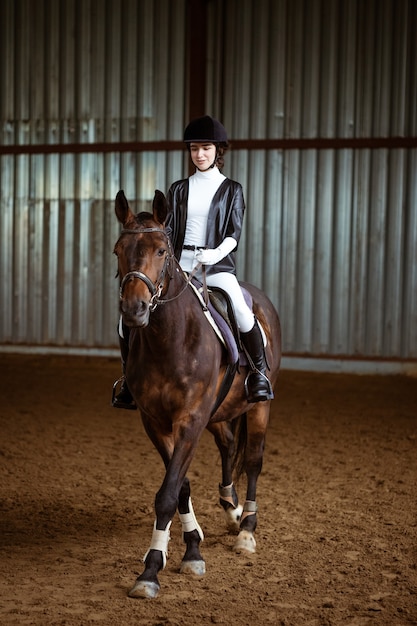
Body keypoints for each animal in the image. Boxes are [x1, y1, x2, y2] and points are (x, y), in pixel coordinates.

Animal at [114, 189, 282, 596]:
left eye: (162, 251)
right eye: (118, 250)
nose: (133, 310)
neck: (168, 340)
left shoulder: (190, 420)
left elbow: (167, 493)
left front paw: (150, 571)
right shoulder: (156, 423)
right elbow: (180, 487)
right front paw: (191, 549)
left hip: (258, 408)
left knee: (253, 460)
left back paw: (246, 530)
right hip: (219, 412)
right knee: (228, 444)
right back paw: (231, 508)